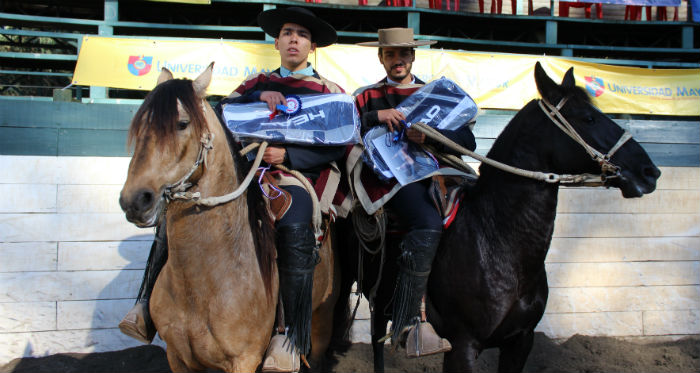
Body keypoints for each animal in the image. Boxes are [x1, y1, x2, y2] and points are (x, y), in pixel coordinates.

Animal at [119, 63, 340, 370]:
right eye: (140, 125)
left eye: (182, 124)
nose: (135, 200)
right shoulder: (177, 357)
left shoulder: (244, 360)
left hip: (321, 321)